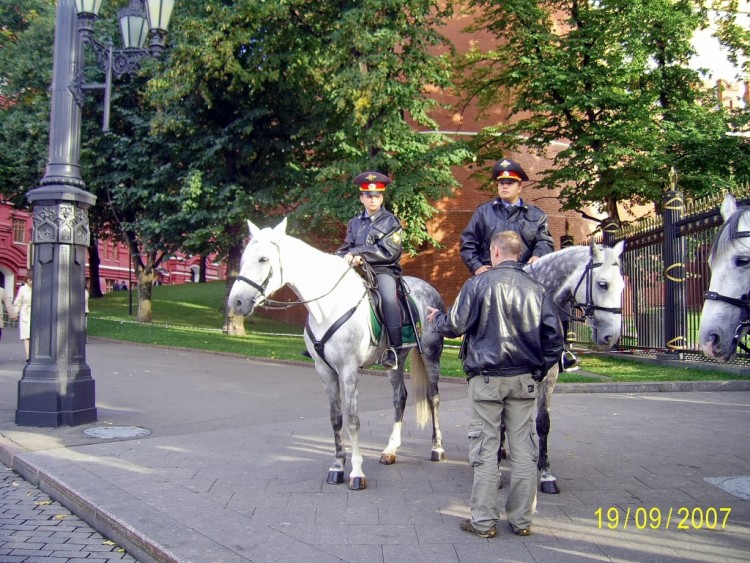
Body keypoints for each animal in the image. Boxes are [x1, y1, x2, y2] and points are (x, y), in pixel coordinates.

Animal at [229, 218, 446, 492]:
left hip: (431, 354)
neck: (328, 306)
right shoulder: (324, 371)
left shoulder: (349, 371)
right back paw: (390, 450)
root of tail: (428, 288)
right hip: (396, 362)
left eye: (264, 259)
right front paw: (337, 467)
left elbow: (352, 420)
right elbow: (335, 418)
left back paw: (437, 448)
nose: (236, 302)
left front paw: (356, 473)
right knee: (400, 398)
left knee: (433, 397)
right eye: (244, 258)